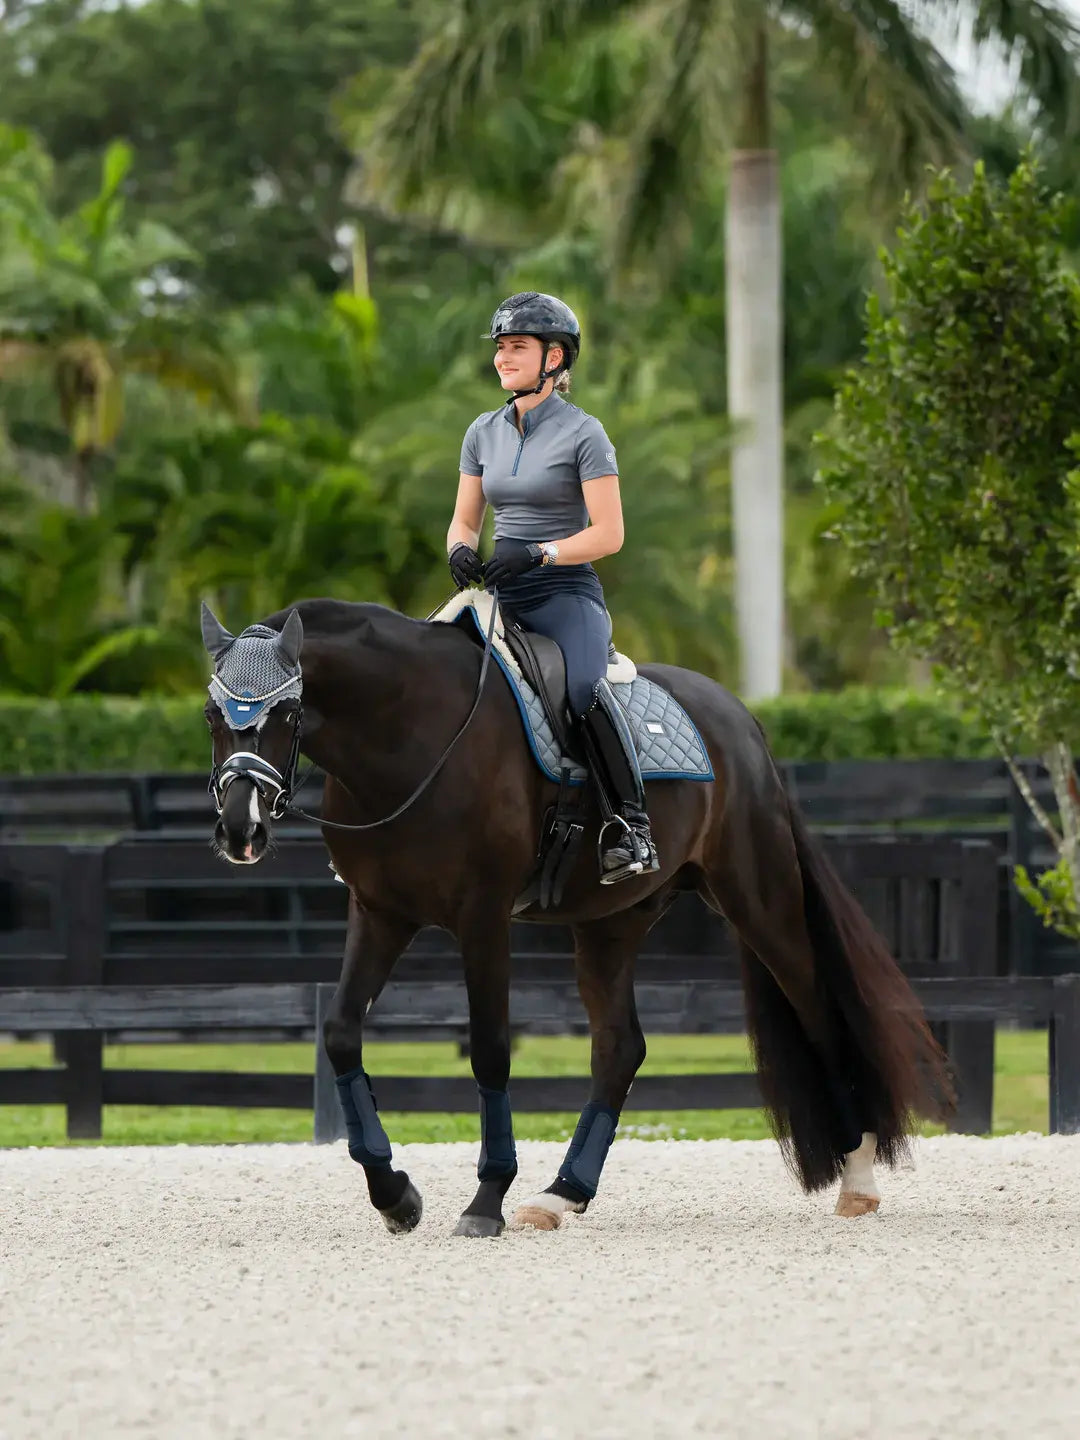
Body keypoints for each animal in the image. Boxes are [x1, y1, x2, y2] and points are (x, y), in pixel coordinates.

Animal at [201, 596, 944, 1238]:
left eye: (287, 715)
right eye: (212, 716)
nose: (240, 832)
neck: (413, 732)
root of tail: (740, 721)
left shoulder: (482, 917)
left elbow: (491, 1050)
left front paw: (486, 1199)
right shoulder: (380, 913)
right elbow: (339, 1034)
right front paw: (395, 1195)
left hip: (758, 897)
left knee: (818, 1008)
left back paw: (858, 1178)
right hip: (611, 923)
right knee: (620, 1048)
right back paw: (562, 1193)